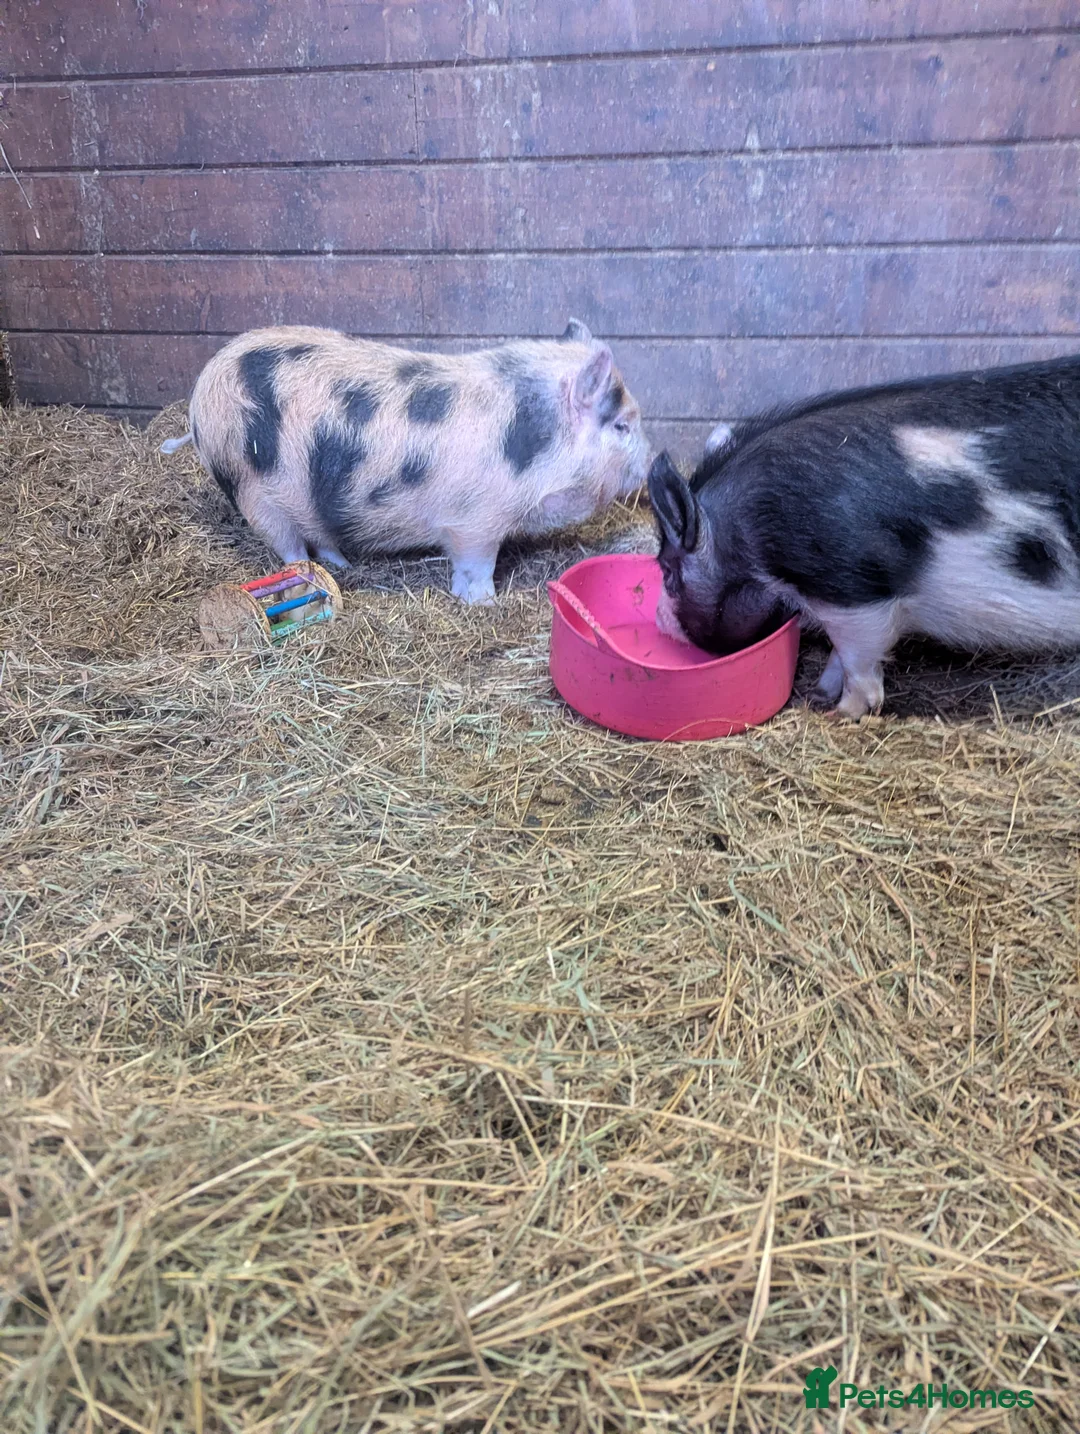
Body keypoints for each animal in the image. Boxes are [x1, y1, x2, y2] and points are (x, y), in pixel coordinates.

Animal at [160, 321, 650, 603]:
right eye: (621, 425)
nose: (654, 462)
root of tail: (201, 392)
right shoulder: (475, 522)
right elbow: (478, 565)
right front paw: (485, 603)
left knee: (319, 535)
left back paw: (343, 566)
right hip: (252, 490)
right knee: (290, 549)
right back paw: (313, 579)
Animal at [648, 353, 1080, 719]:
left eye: (668, 572)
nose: (657, 619)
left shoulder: (855, 592)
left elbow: (859, 658)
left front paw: (838, 713)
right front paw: (820, 694)